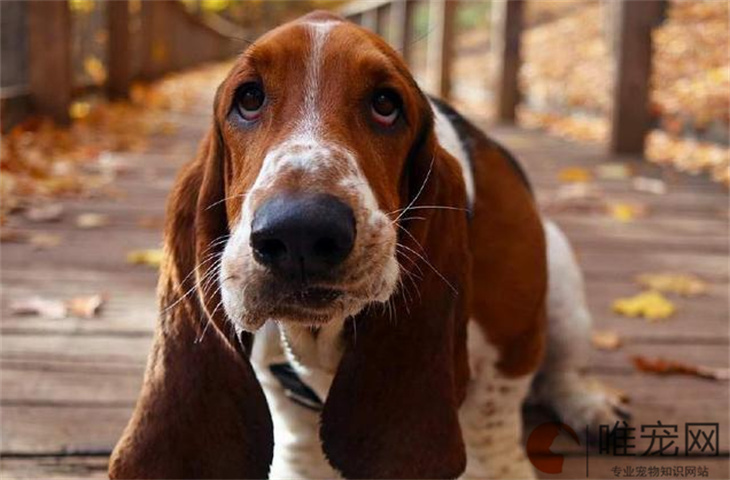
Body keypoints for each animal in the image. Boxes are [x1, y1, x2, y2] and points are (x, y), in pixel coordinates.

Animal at [111, 12, 624, 480]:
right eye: (249, 98)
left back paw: (593, 410)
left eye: (385, 104)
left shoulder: (512, 347)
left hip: (562, 284)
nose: (300, 230)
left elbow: (491, 432)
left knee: (563, 374)